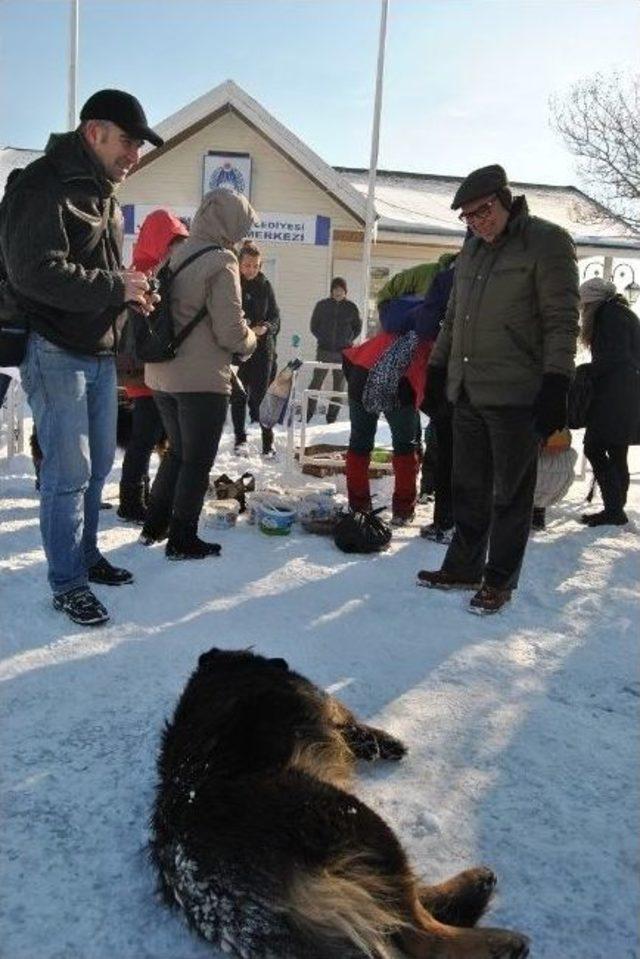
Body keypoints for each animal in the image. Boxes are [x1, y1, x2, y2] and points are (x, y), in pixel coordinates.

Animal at [151, 648, 528, 956]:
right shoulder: (322, 704)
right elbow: (348, 723)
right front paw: (380, 742)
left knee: (394, 907)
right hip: (356, 821)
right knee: (414, 929)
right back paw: (501, 938)